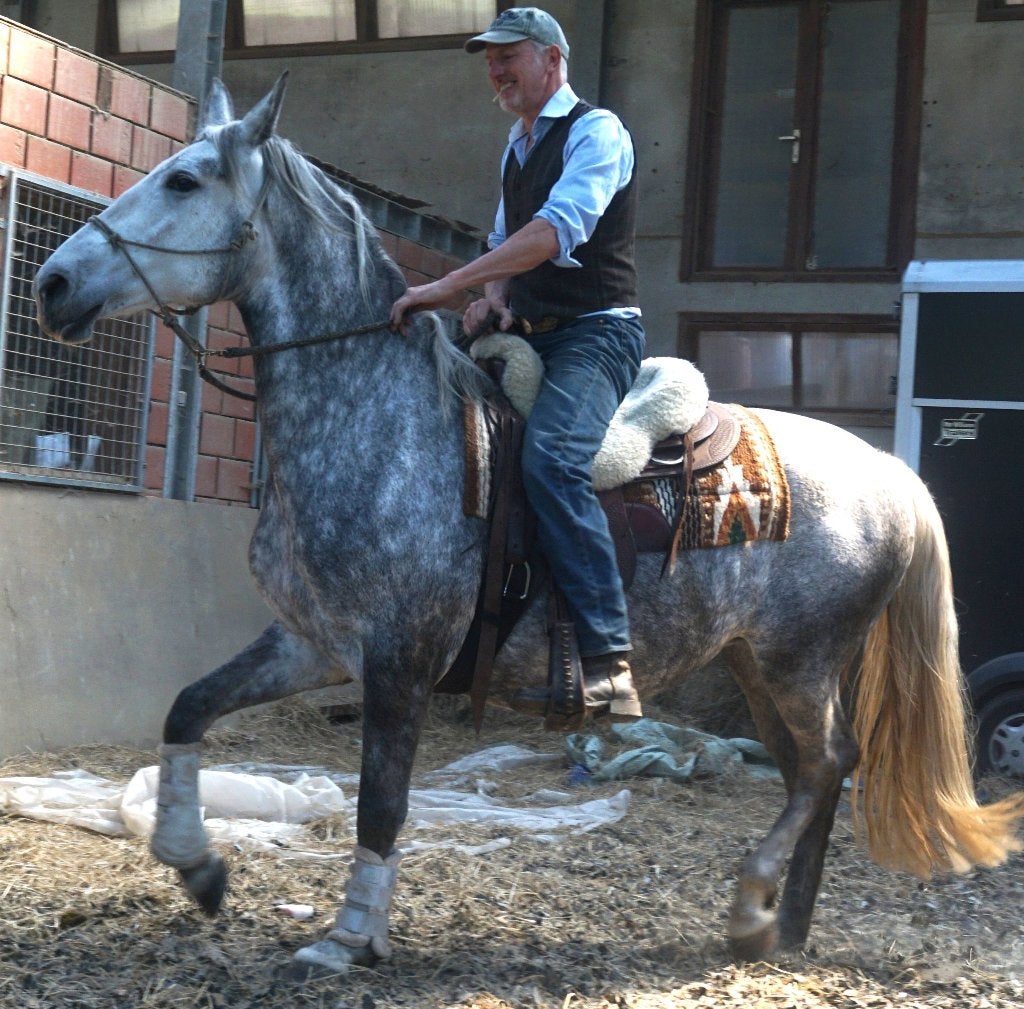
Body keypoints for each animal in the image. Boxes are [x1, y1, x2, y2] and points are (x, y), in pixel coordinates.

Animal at [33, 75, 1024, 973]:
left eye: (186, 181)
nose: (52, 281)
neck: (383, 419)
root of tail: (892, 476)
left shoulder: (400, 658)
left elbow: (380, 802)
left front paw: (351, 935)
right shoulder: (312, 641)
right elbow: (189, 706)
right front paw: (195, 864)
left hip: (800, 656)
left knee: (825, 766)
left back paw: (753, 906)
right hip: (757, 660)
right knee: (808, 770)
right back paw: (784, 930)